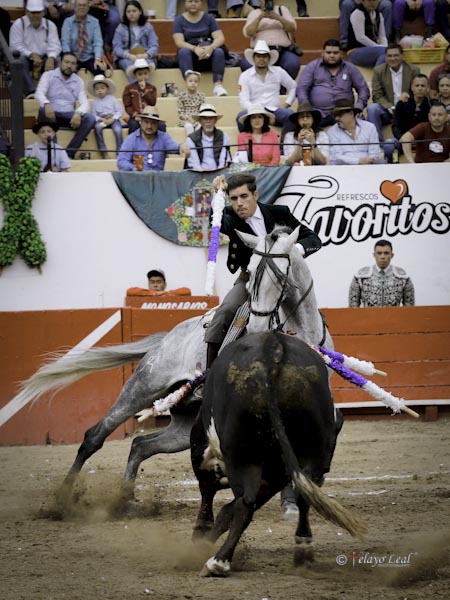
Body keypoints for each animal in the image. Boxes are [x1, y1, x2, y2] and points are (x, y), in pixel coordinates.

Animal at [17, 225, 332, 496]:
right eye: (250, 272)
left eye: (280, 277)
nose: (255, 329)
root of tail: (165, 339)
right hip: (142, 388)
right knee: (95, 435)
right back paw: (62, 500)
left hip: (183, 419)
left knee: (141, 444)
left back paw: (123, 500)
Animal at [190, 332, 366, 576]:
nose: (327, 468)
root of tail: (274, 349)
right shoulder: (277, 474)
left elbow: (215, 496)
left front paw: (201, 538)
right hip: (310, 453)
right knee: (302, 495)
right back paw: (303, 550)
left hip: (243, 456)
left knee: (246, 502)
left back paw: (218, 562)